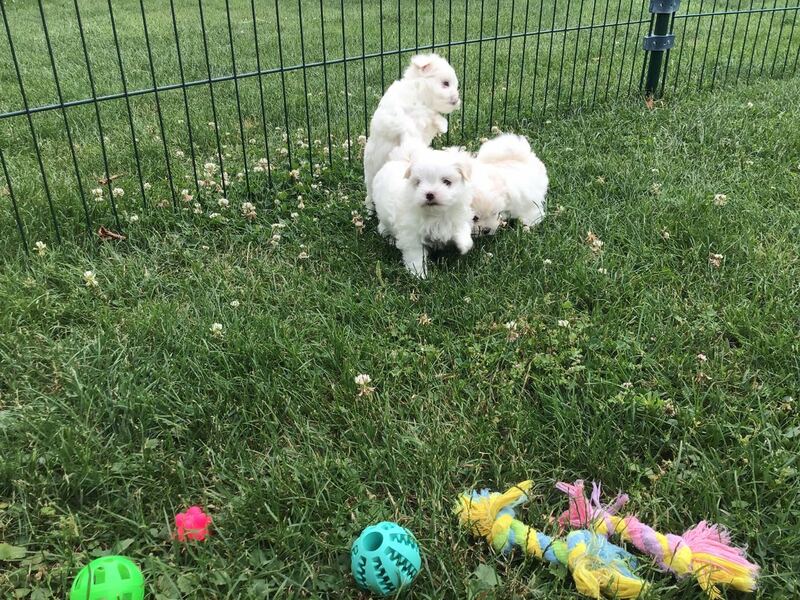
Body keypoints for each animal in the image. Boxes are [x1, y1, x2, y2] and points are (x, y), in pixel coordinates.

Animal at [363, 53, 461, 213]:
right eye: (446, 84)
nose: (456, 99)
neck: (419, 95)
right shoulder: (395, 117)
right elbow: (407, 124)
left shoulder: (427, 122)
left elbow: (434, 117)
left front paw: (443, 126)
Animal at [372, 146, 473, 278]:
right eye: (418, 182)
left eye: (447, 181)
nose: (429, 194)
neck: (436, 214)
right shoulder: (412, 235)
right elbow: (415, 255)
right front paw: (418, 274)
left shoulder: (458, 215)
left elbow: (463, 228)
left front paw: (464, 245)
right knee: (383, 226)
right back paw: (389, 237)